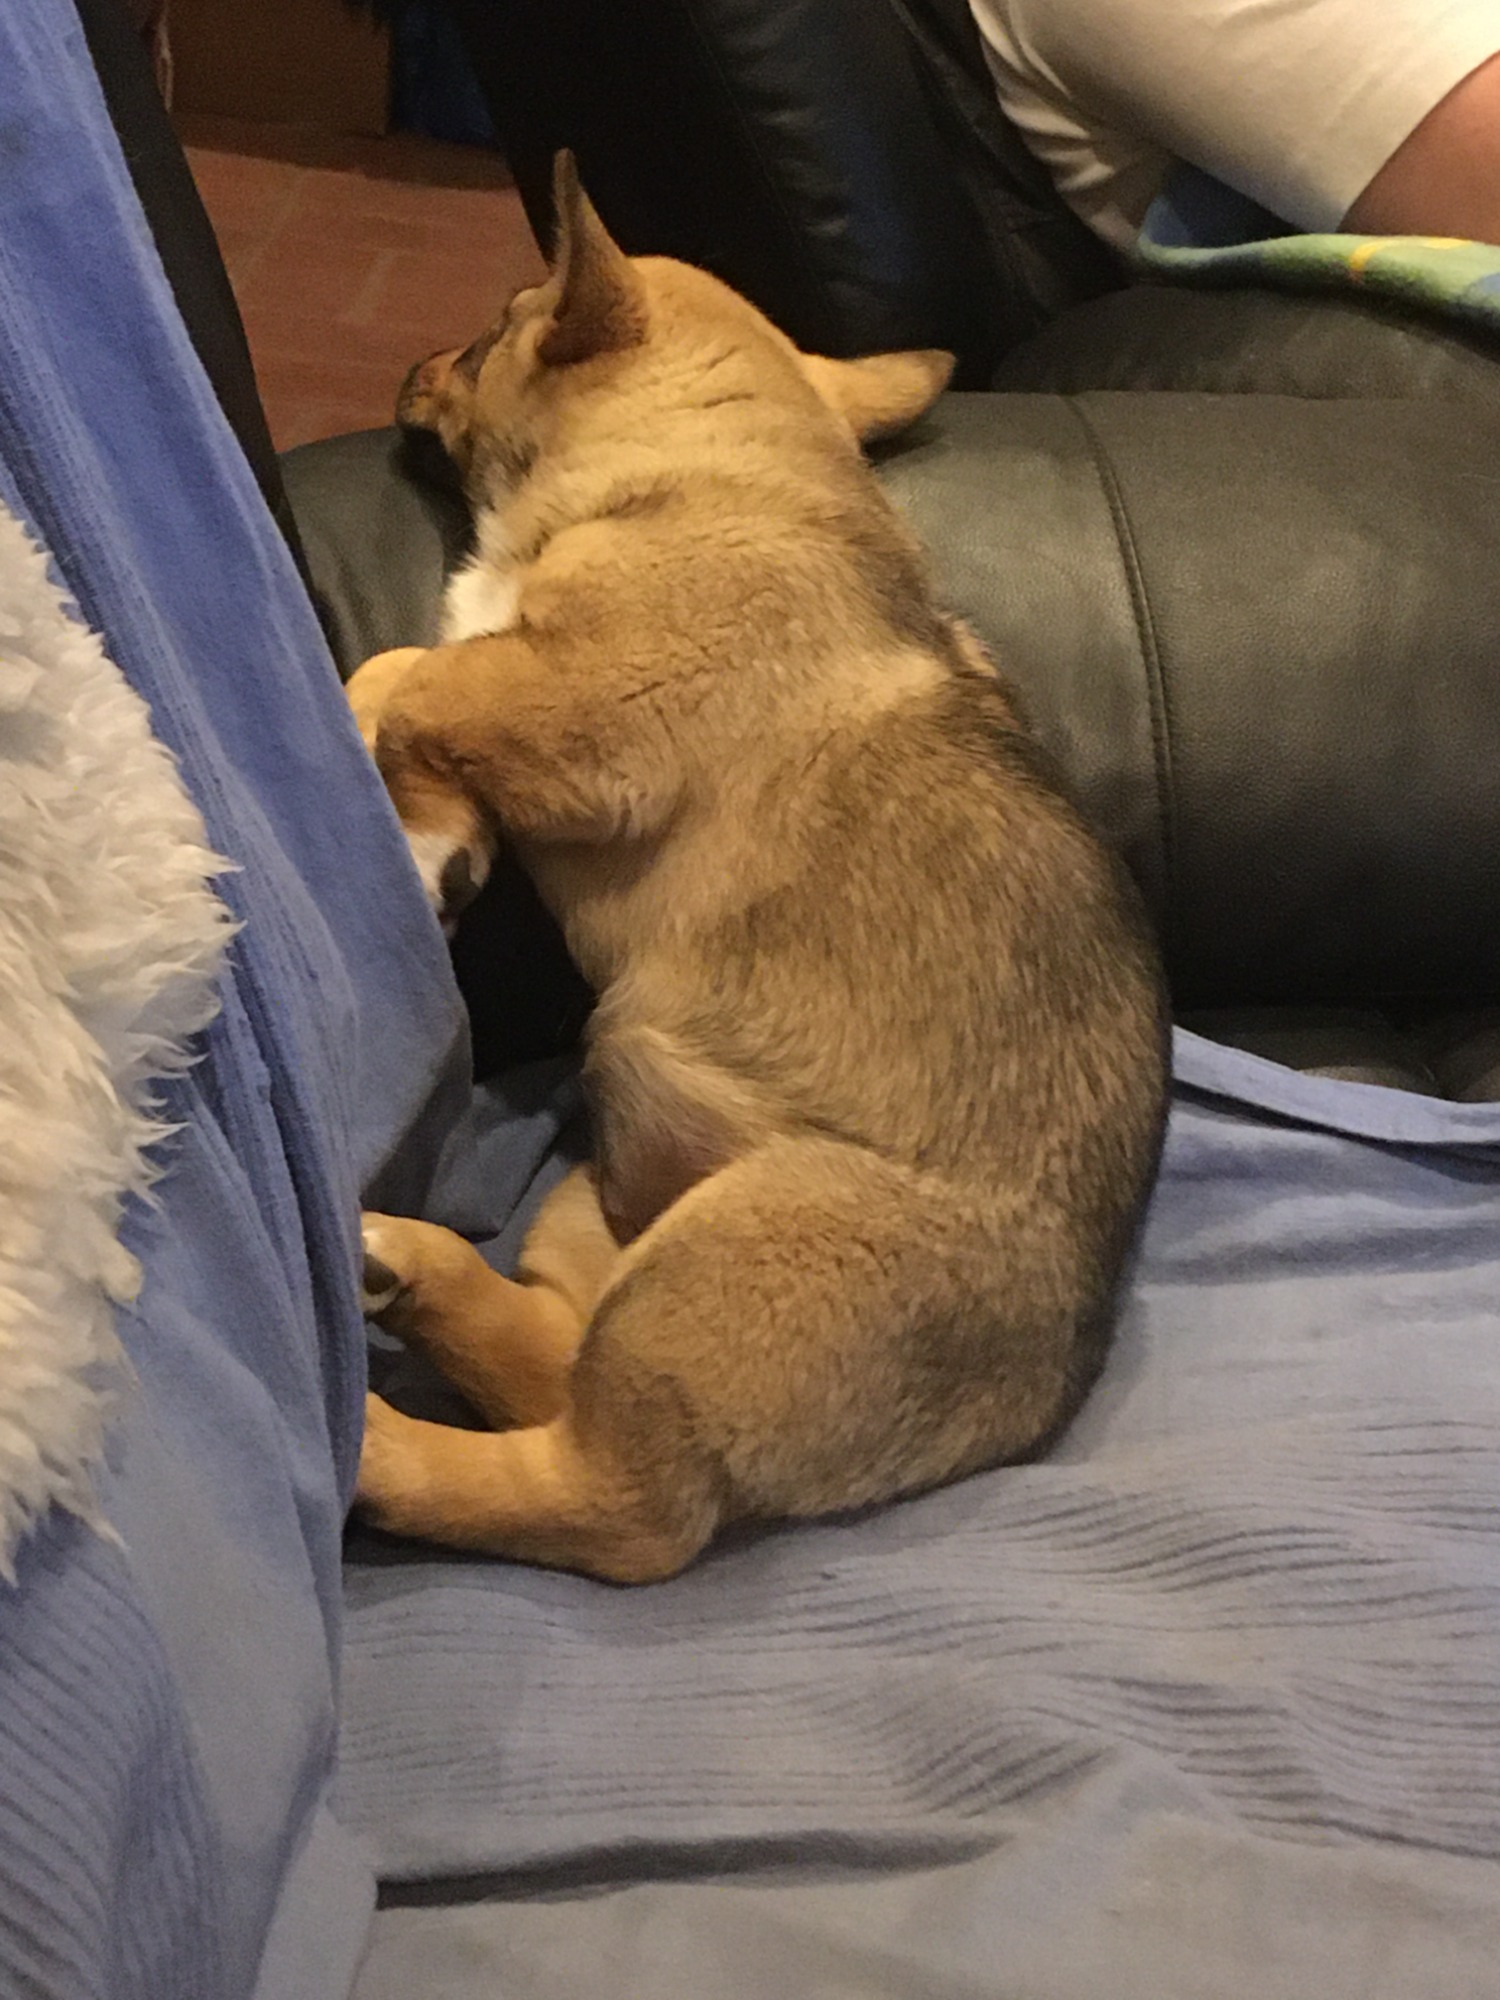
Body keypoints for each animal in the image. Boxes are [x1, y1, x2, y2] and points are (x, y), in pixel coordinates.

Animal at [345, 153, 1170, 1582]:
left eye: (499, 326)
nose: (412, 365)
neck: (706, 466)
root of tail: (1028, 1393)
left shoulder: (587, 708)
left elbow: (417, 681)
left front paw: (408, 803)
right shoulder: (527, 678)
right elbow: (407, 669)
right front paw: (420, 809)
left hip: (732, 1256)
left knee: (609, 1502)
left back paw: (377, 1447)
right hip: (601, 1214)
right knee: (550, 1360)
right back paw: (410, 1271)